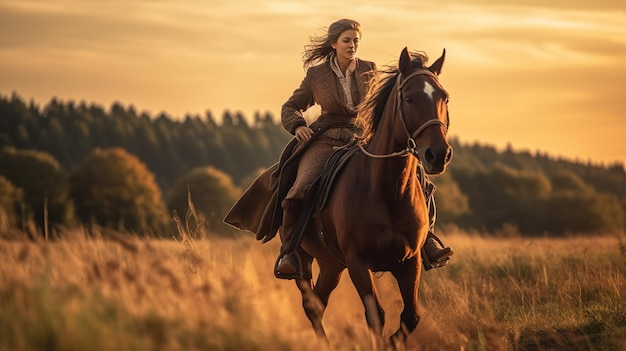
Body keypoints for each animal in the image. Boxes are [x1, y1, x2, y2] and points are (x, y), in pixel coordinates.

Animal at [288, 47, 454, 350]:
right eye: (409, 98)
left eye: (444, 97)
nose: (438, 154)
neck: (388, 191)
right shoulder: (358, 262)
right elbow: (376, 314)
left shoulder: (410, 261)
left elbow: (411, 316)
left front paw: (393, 341)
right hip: (306, 259)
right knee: (311, 304)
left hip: (331, 265)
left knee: (319, 302)